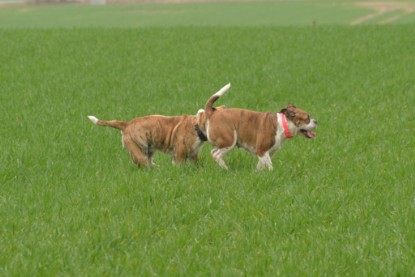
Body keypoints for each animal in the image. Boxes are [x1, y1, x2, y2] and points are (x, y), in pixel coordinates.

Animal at [87, 85, 228, 167]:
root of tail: (126, 124)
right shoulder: (179, 156)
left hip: (149, 151)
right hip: (139, 153)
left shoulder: (193, 156)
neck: (196, 125)